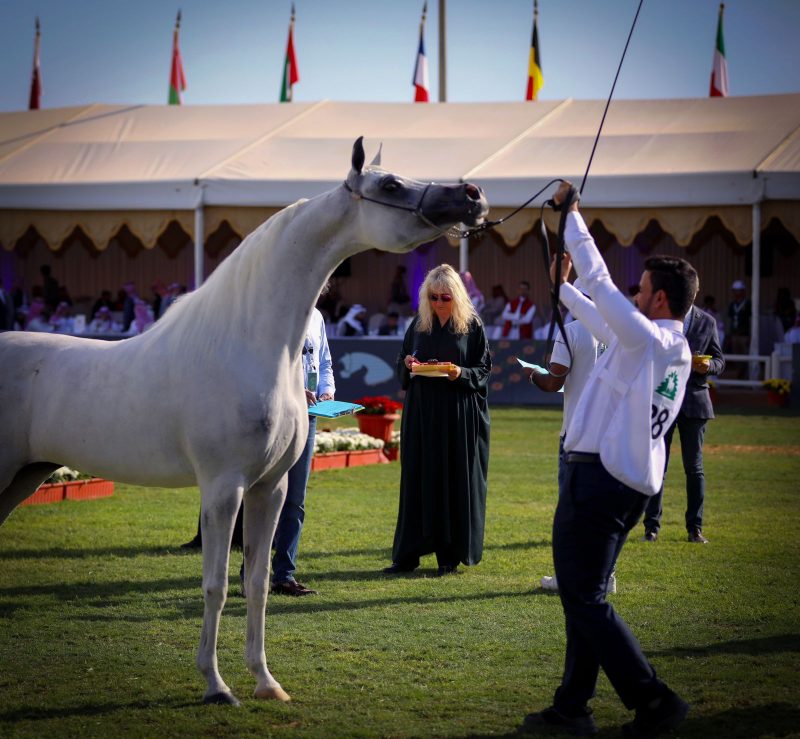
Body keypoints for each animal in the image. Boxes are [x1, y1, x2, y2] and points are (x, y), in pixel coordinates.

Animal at [0, 136, 488, 708]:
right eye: (390, 185)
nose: (472, 195)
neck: (247, 344)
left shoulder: (269, 488)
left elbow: (256, 582)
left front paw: (264, 681)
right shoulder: (222, 488)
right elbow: (216, 586)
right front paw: (216, 686)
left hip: (23, 477)